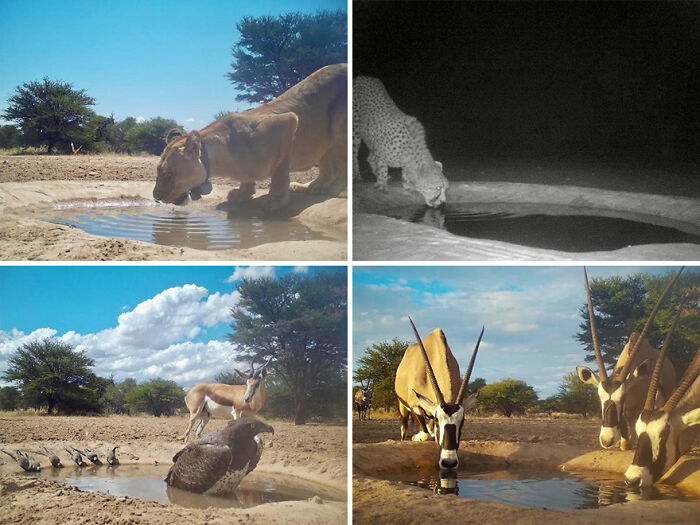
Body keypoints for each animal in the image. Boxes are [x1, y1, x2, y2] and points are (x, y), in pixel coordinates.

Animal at [152, 63, 347, 208]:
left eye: (168, 174)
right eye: (158, 171)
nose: (156, 197)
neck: (220, 161)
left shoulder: (287, 121)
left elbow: (280, 169)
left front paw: (277, 199)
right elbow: (248, 179)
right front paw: (243, 192)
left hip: (339, 124)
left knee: (343, 167)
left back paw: (330, 188)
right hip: (324, 139)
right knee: (327, 168)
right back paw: (310, 186)